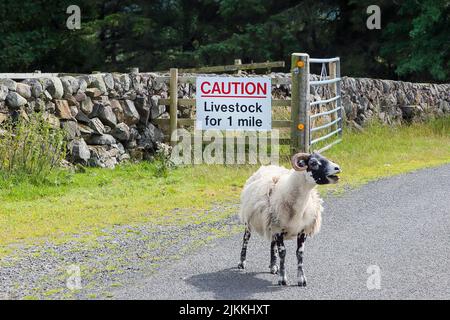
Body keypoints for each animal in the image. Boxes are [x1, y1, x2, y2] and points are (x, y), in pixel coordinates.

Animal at [237, 151, 340, 286]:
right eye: (313, 163)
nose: (338, 168)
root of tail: (268, 166)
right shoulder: (279, 230)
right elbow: (283, 253)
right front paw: (282, 279)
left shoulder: (302, 230)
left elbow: (299, 253)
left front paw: (301, 279)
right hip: (249, 221)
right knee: (246, 239)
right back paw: (242, 263)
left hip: (271, 223)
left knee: (272, 243)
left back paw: (273, 266)